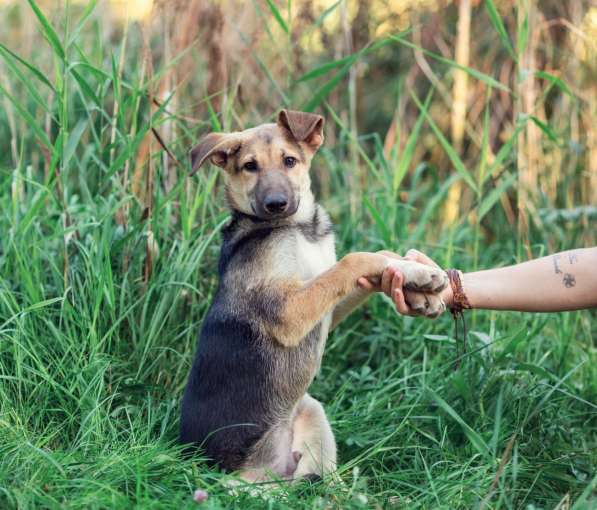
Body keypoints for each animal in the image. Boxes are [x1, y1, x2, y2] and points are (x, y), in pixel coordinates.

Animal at [179, 109, 444, 484]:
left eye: (290, 161)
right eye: (249, 166)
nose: (276, 204)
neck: (300, 229)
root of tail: (273, 472)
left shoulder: (325, 307)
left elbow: (372, 261)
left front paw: (416, 283)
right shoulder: (288, 312)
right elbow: (355, 259)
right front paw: (417, 275)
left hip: (311, 412)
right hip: (237, 482)